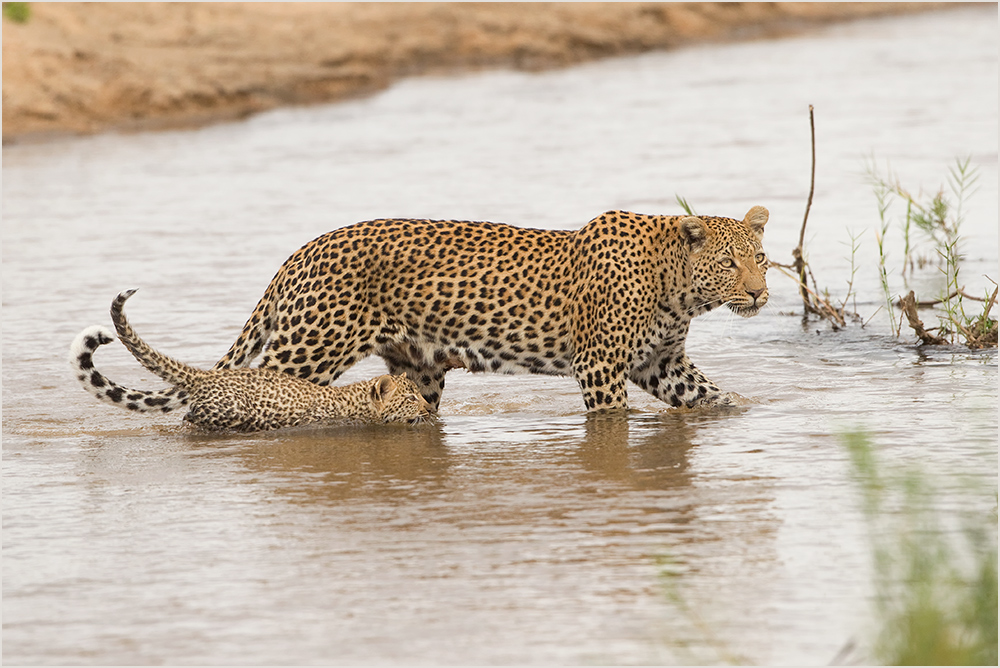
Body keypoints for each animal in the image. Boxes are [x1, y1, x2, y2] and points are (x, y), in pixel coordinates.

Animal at [215, 206, 768, 410]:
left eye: (760, 258)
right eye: (729, 262)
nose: (760, 293)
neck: (679, 292)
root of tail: (301, 251)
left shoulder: (661, 363)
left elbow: (712, 396)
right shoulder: (599, 364)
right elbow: (611, 419)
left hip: (417, 370)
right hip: (309, 349)